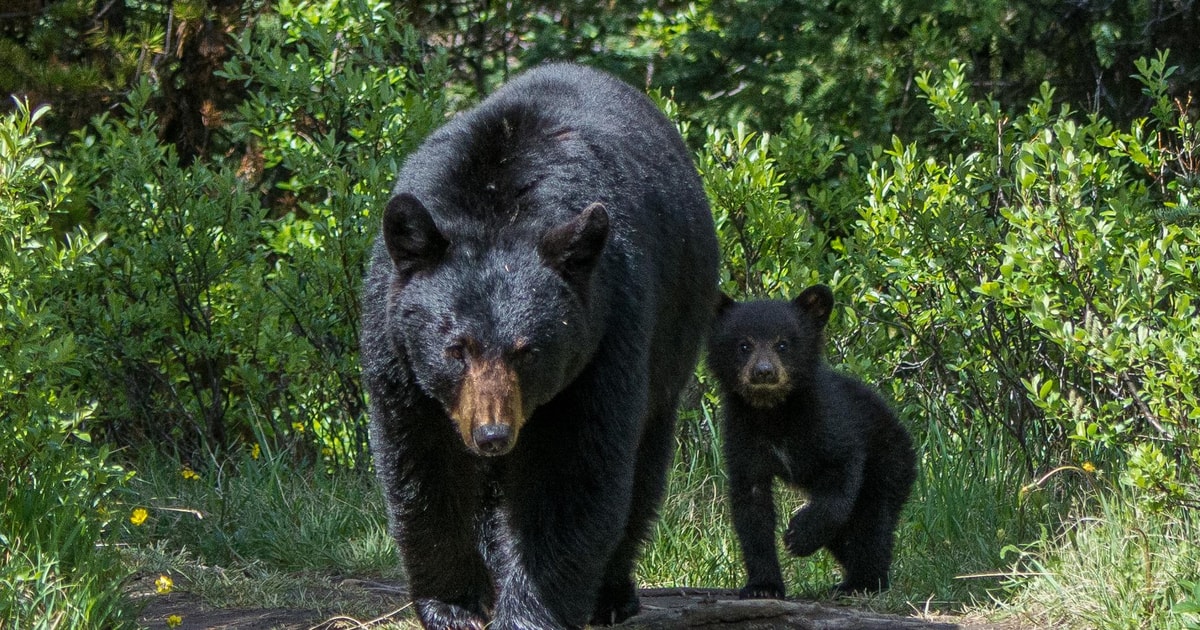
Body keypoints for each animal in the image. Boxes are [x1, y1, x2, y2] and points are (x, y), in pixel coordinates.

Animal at [360, 63, 715, 628]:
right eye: (456, 348)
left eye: (528, 351)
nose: (492, 434)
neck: (497, 203)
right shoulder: (396, 349)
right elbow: (425, 463)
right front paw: (452, 604)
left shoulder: (606, 331)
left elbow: (569, 472)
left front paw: (528, 611)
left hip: (674, 336)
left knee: (642, 468)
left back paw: (612, 593)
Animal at [705, 286, 912, 597]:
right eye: (744, 345)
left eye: (782, 344)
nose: (764, 372)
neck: (773, 411)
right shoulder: (742, 435)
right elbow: (752, 509)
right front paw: (762, 586)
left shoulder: (827, 421)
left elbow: (841, 474)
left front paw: (799, 535)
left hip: (889, 461)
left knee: (872, 522)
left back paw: (863, 581)